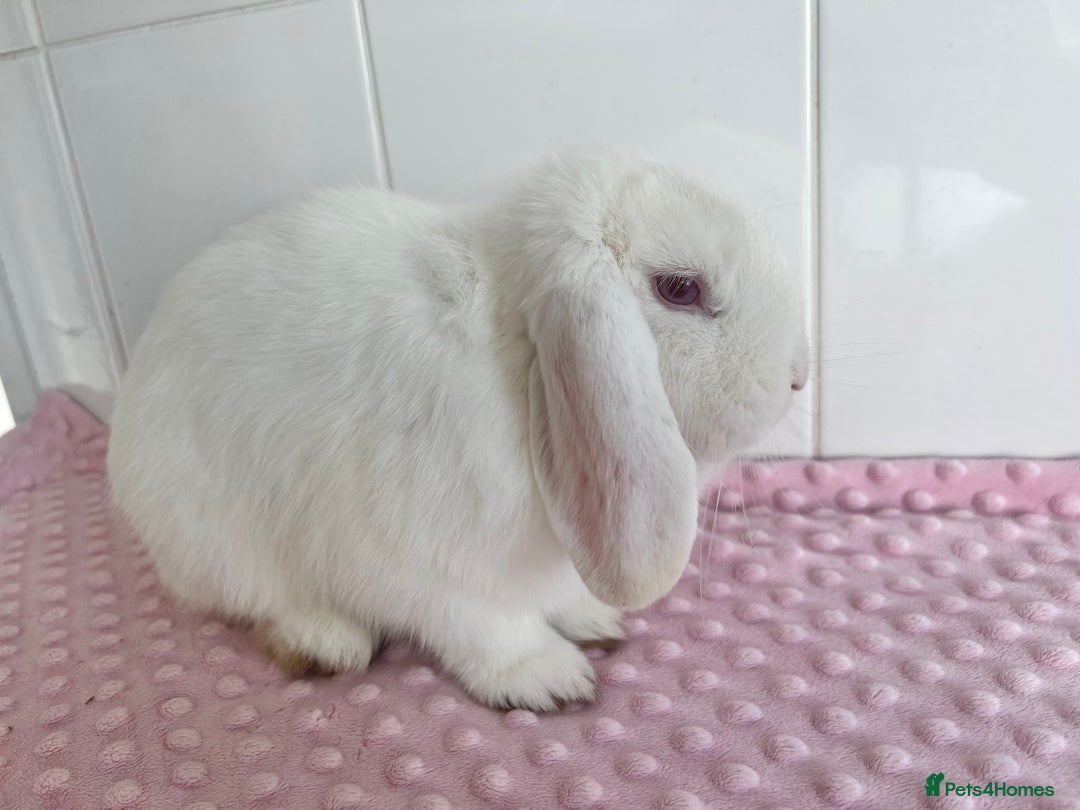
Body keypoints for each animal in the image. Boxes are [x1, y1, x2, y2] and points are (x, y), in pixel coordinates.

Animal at [107, 147, 808, 712]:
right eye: (680, 289)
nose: (798, 374)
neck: (524, 367)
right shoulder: (421, 565)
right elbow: (485, 628)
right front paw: (550, 679)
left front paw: (593, 619)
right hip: (221, 543)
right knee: (264, 600)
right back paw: (326, 642)